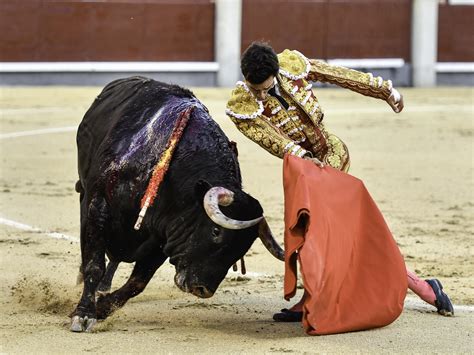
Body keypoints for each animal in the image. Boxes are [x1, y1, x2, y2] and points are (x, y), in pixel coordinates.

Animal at [72, 77, 284, 334]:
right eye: (216, 231)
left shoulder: (164, 234)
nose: (203, 289)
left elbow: (138, 281)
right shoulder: (98, 204)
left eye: (243, 248)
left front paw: (103, 308)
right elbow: (94, 264)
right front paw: (84, 314)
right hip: (85, 194)